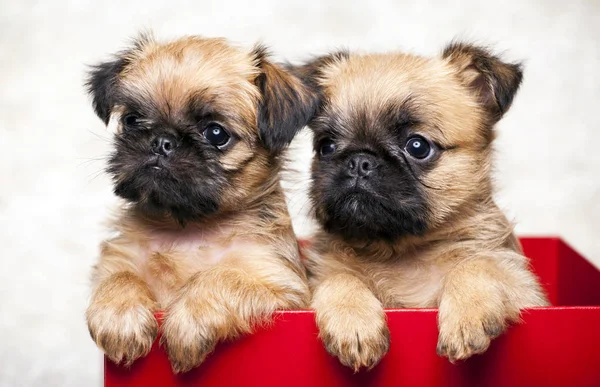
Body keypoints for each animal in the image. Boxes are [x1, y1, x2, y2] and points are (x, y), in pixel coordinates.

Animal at [86, 34, 316, 374]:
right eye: (132, 120)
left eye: (216, 134)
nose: (162, 141)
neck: (187, 228)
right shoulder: (117, 260)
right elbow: (120, 277)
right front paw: (119, 316)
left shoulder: (282, 286)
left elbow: (220, 277)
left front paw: (188, 322)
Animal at [292, 43, 552, 372]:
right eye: (326, 146)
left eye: (417, 147)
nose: (359, 161)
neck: (399, 252)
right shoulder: (319, 275)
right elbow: (338, 278)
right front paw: (353, 322)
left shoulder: (523, 287)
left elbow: (476, 265)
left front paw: (467, 315)